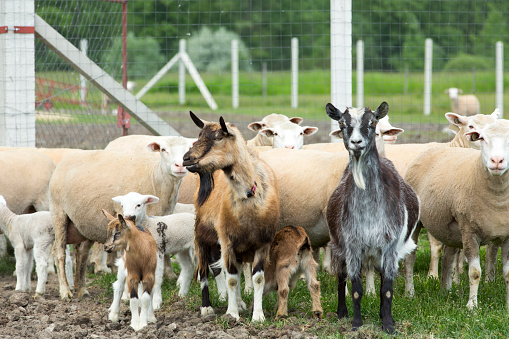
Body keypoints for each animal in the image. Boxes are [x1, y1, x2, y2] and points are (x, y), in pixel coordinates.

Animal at [49, 137, 190, 302]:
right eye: (163, 149)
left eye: (189, 149)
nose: (180, 166)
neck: (156, 177)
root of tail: (66, 158)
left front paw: (169, 276)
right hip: (58, 213)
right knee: (59, 253)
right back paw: (65, 291)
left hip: (84, 223)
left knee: (81, 252)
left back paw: (81, 289)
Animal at [182, 113, 280, 322]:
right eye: (199, 135)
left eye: (219, 137)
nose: (186, 158)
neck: (249, 195)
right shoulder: (227, 241)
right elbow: (232, 279)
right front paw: (232, 314)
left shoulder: (263, 243)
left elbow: (258, 278)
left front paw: (258, 315)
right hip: (201, 234)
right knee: (205, 270)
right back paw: (207, 308)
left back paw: (241, 302)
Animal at [402, 120, 508, 310]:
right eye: (482, 138)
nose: (497, 161)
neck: (498, 198)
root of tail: (434, 147)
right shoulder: (469, 231)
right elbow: (474, 272)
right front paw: (472, 306)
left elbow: (508, 274)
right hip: (416, 222)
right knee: (409, 258)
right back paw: (410, 293)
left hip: (449, 227)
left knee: (448, 257)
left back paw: (446, 291)